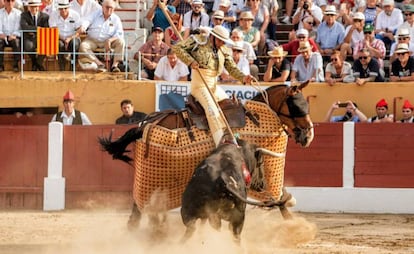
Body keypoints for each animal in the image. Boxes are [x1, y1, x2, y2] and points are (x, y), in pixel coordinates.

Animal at [98, 83, 316, 228]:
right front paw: (294, 225)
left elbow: (281, 195)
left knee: (140, 208)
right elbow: (278, 198)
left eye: (307, 104)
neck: (257, 118)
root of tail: (146, 124)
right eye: (296, 106)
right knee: (143, 207)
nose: (308, 136)